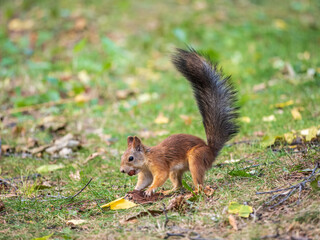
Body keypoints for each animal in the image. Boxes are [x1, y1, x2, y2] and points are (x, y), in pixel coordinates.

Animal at [119, 47, 238, 196]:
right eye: (122, 156)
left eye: (131, 158)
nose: (122, 170)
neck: (146, 159)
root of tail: (211, 151)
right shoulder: (146, 173)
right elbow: (143, 182)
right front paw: (134, 191)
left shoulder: (159, 163)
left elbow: (161, 176)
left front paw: (150, 189)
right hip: (176, 171)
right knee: (178, 185)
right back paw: (168, 191)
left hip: (196, 158)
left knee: (199, 183)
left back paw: (193, 192)